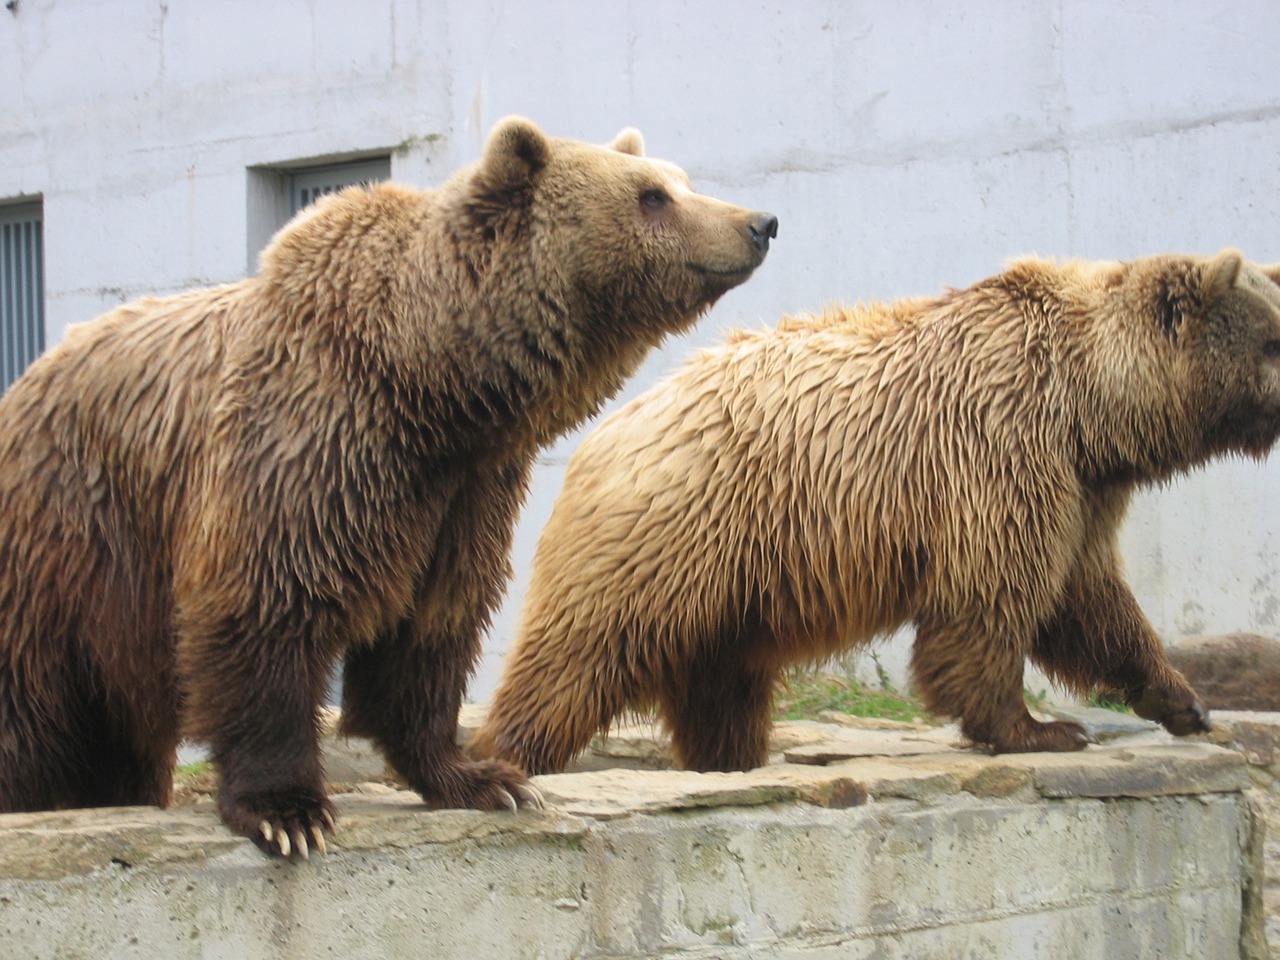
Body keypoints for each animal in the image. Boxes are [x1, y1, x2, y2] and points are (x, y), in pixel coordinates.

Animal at [0, 116, 773, 860]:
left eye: (680, 180)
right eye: (652, 195)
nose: (759, 222)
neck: (424, 383)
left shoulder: (463, 494)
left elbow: (432, 627)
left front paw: (482, 779)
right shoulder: (303, 445)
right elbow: (265, 604)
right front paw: (288, 810)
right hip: (64, 545)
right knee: (29, 715)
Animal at [476, 252, 1280, 778]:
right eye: (1274, 338)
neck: (1090, 406)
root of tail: (602, 433)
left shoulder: (1084, 489)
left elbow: (1089, 601)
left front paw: (1183, 702)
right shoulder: (1001, 450)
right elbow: (990, 599)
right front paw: (1043, 728)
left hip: (731, 592)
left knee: (720, 687)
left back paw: (727, 760)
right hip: (670, 534)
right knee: (578, 654)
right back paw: (507, 756)